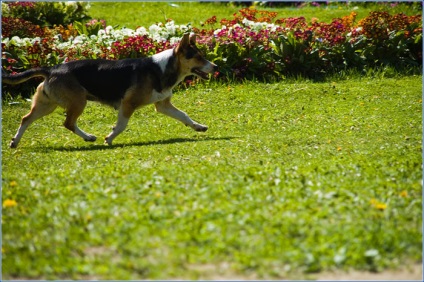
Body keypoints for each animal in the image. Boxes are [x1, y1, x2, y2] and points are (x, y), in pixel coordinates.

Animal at [1, 32, 217, 149]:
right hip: (78, 100)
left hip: (48, 104)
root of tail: (51, 68)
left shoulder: (163, 105)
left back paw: (14, 142)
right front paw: (109, 138)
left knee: (26, 119)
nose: (215, 67)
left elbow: (184, 116)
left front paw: (199, 127)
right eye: (198, 57)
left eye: (203, 56)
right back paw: (89, 137)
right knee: (68, 123)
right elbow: (121, 125)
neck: (164, 68)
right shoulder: (128, 104)